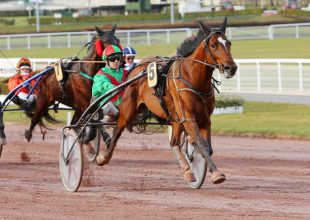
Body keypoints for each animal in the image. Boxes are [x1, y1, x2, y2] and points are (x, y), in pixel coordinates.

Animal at [95, 18, 236, 185]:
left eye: (229, 43)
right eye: (214, 45)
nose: (231, 68)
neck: (193, 79)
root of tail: (136, 69)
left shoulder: (204, 119)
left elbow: (206, 147)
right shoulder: (188, 118)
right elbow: (200, 143)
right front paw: (216, 174)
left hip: (174, 118)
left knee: (174, 142)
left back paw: (187, 171)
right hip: (128, 109)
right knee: (117, 129)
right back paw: (103, 158)